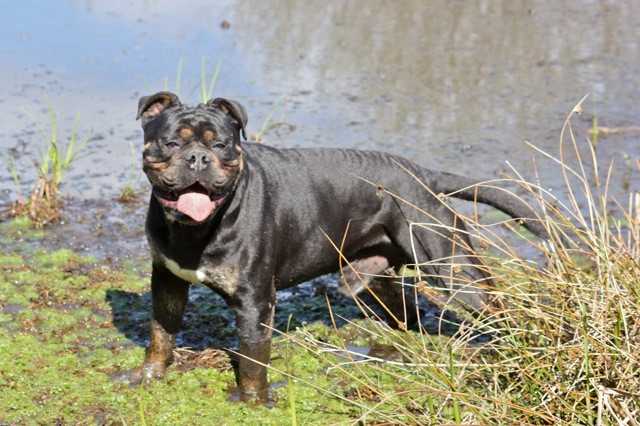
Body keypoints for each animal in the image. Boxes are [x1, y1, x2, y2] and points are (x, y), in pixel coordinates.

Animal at [122, 92, 548, 402]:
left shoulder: (255, 301)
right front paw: (149, 375)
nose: (198, 157)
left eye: (223, 145)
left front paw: (253, 402)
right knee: (405, 312)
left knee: (497, 309)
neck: (196, 229)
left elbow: (254, 359)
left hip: (453, 268)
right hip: (375, 278)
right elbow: (160, 334)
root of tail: (423, 175)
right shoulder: (167, 282)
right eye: (170, 142)